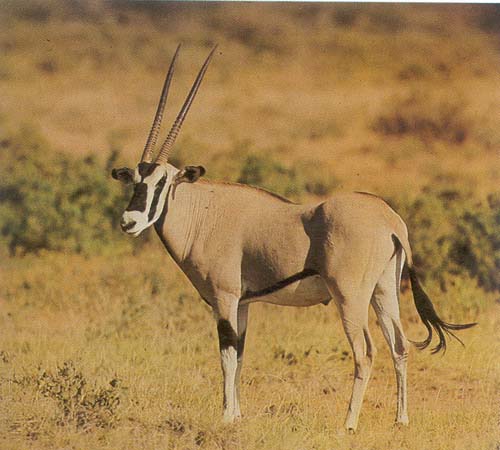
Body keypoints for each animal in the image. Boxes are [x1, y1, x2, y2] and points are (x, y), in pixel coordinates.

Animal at [111, 45, 476, 431]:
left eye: (163, 182)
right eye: (135, 180)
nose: (129, 221)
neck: (203, 213)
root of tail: (390, 221)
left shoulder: (224, 298)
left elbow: (226, 354)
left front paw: (225, 416)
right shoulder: (244, 304)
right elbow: (240, 355)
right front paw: (237, 414)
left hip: (350, 297)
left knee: (365, 352)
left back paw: (349, 422)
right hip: (384, 291)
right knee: (400, 346)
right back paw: (401, 419)